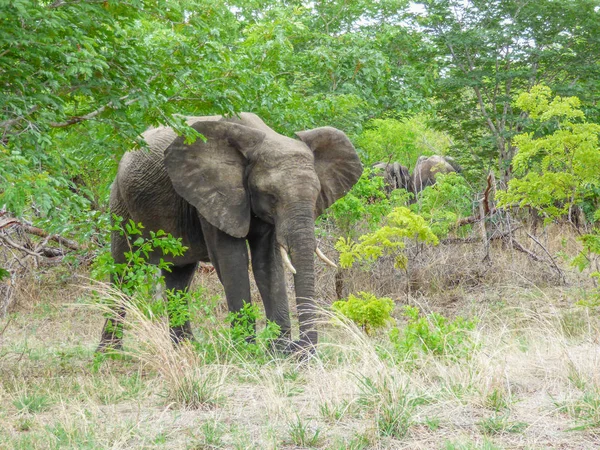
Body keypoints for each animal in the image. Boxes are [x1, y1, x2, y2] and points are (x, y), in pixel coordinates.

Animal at [98, 111, 360, 352]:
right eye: (271, 196)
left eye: (316, 196)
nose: (301, 349)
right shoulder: (214, 196)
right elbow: (233, 260)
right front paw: (248, 352)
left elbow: (267, 264)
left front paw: (278, 352)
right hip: (120, 203)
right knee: (124, 269)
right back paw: (111, 353)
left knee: (179, 276)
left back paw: (187, 348)